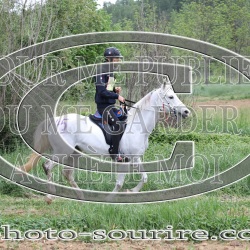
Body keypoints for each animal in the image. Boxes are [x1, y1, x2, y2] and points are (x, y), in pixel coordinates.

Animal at [20, 83, 190, 204]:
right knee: (48, 166)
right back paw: (50, 197)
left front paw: (130, 191)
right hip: (62, 152)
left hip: (75, 152)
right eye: (170, 97)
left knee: (67, 173)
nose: (186, 112)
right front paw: (110, 199)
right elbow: (121, 183)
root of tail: (56, 120)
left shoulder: (135, 158)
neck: (137, 126)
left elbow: (144, 178)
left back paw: (82, 198)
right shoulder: (125, 159)